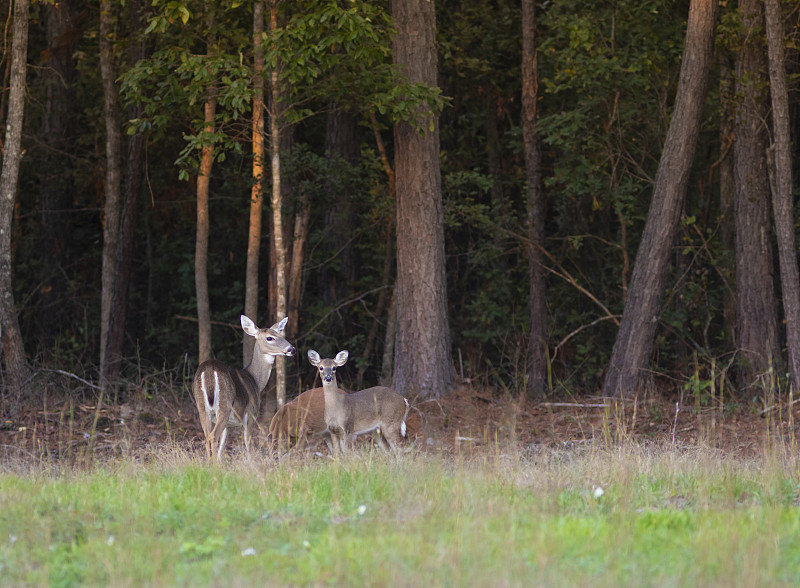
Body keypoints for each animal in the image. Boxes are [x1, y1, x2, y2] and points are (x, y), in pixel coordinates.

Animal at [192, 314, 296, 462]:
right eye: (270, 338)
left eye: (280, 334)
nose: (292, 349)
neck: (256, 382)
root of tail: (209, 371)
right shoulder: (251, 413)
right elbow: (248, 443)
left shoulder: (228, 424)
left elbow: (223, 444)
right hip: (224, 406)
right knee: (212, 437)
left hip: (202, 408)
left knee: (208, 437)